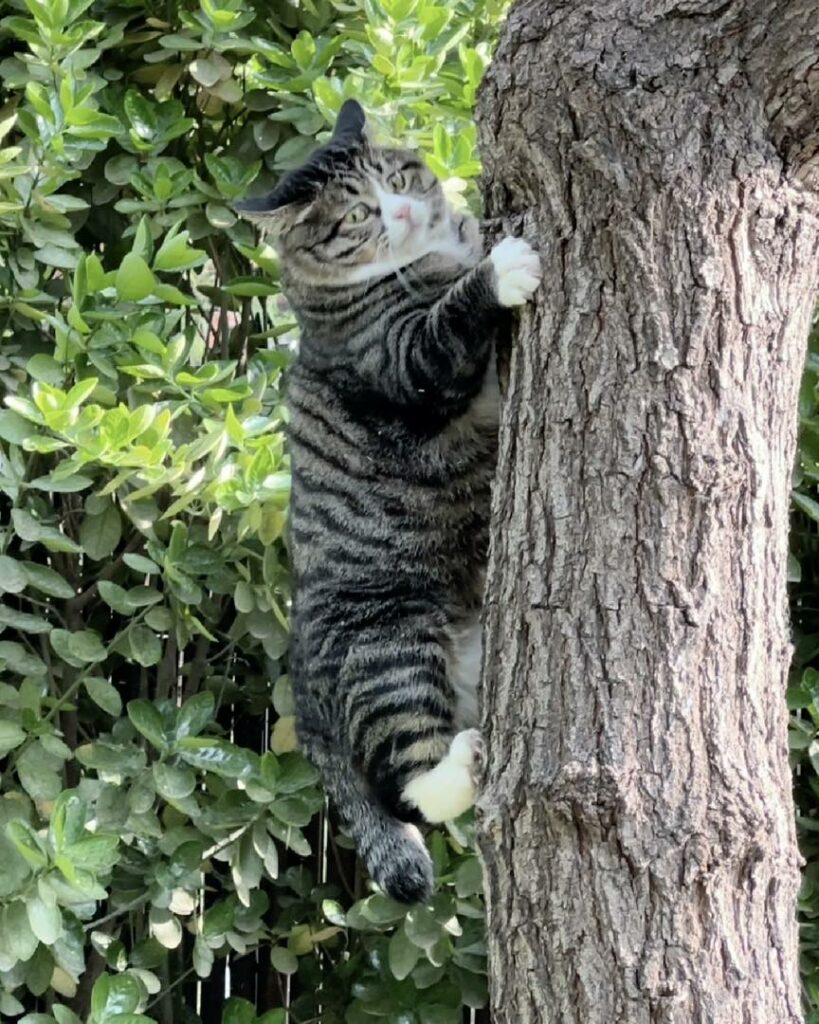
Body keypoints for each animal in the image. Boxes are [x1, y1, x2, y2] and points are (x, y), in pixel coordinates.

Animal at [236, 101, 540, 905]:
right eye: (355, 214)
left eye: (398, 178)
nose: (399, 210)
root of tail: (303, 696)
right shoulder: (399, 359)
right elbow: (445, 324)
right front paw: (501, 268)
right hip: (389, 645)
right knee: (406, 784)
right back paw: (457, 767)